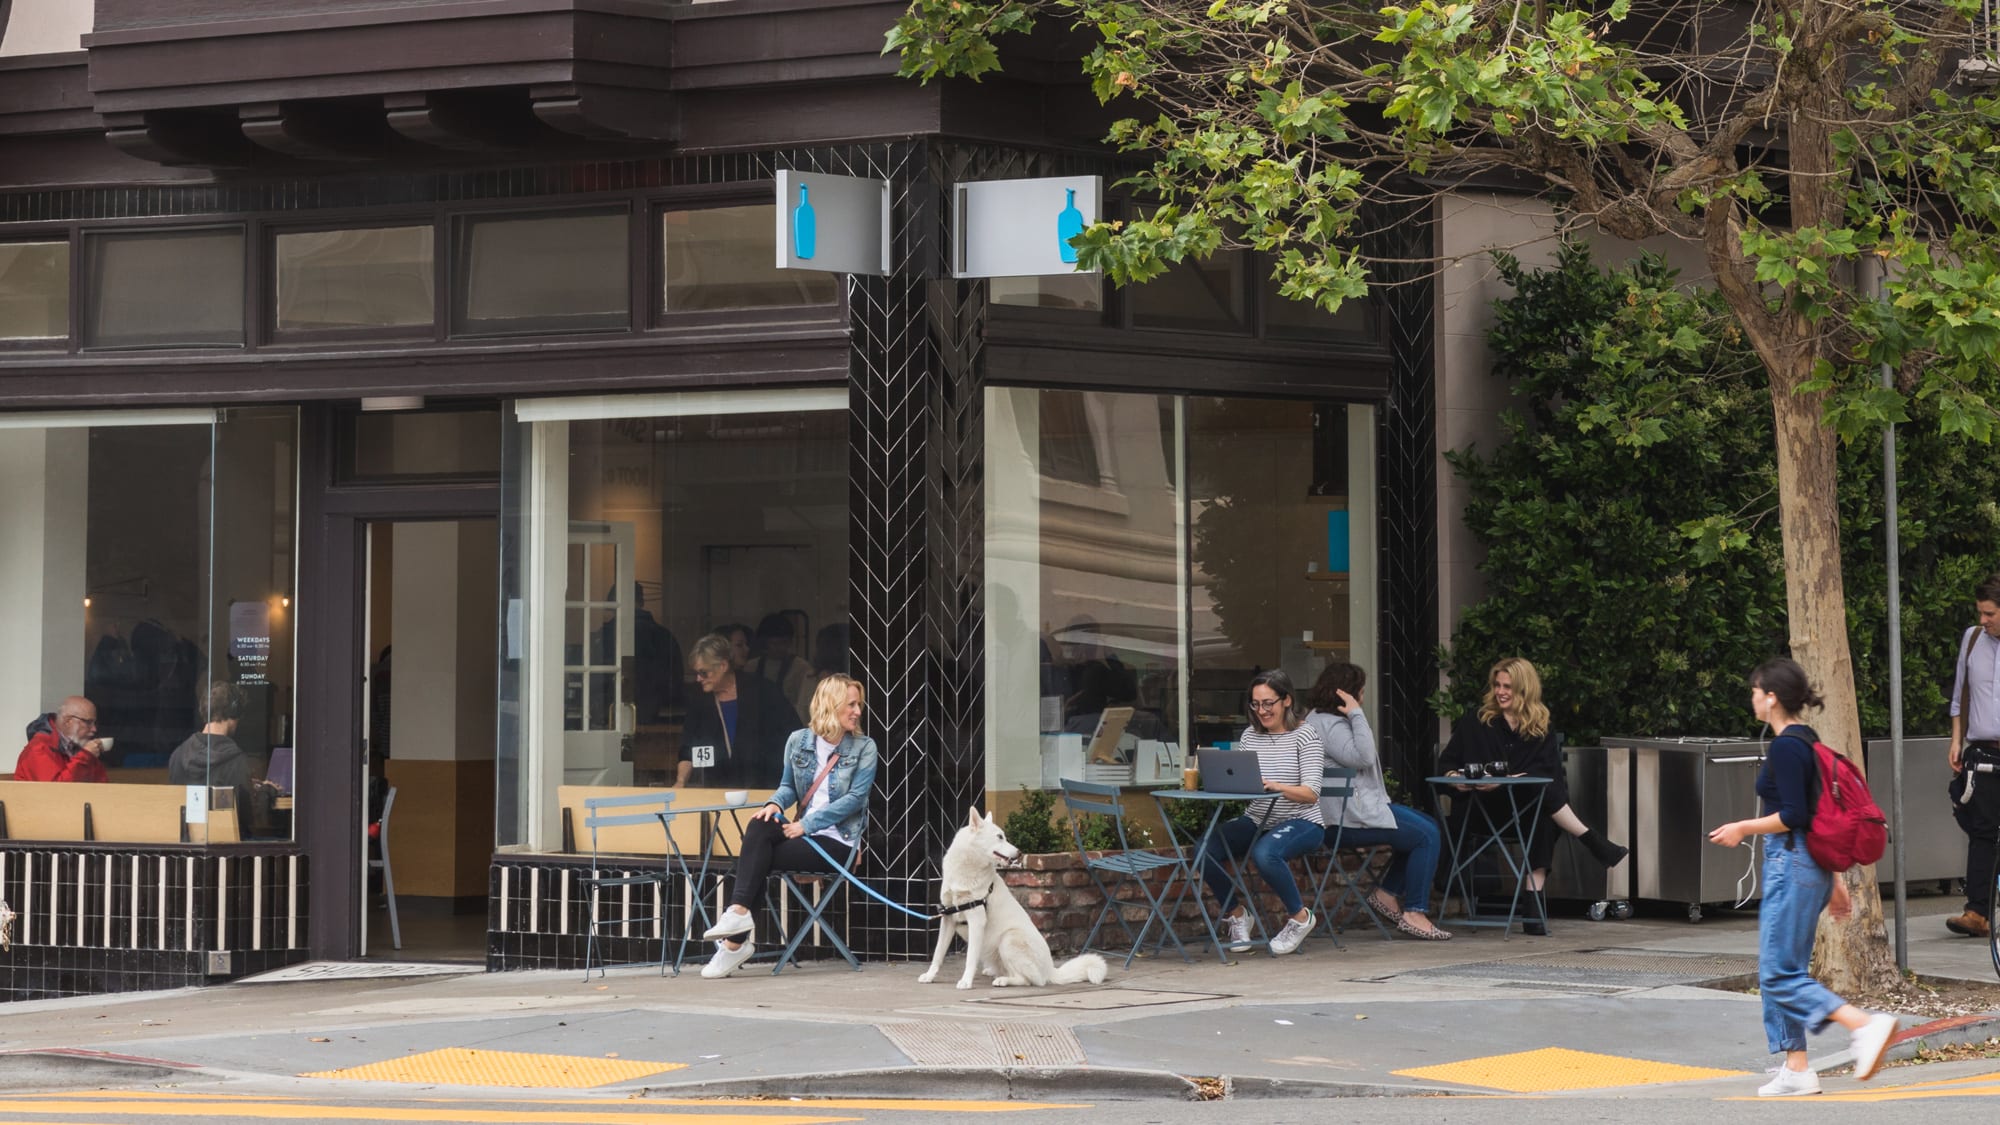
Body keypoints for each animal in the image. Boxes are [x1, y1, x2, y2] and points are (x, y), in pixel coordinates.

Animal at [916, 800, 1112, 984]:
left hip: (1009, 939)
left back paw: (1004, 980)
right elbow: (938, 954)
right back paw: (994, 973)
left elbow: (970, 958)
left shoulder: (976, 921)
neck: (966, 870)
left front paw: (965, 981)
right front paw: (929, 976)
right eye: (999, 837)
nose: (1019, 852)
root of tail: (1050, 969)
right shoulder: (948, 918)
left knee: (1029, 980)